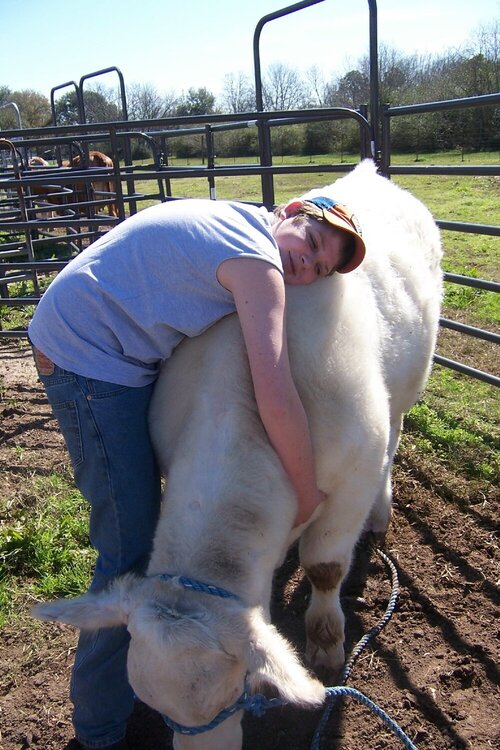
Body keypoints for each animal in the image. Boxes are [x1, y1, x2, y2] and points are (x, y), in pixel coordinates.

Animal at [34, 162, 442, 748]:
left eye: (235, 690)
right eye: (154, 706)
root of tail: (368, 172)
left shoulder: (351, 480)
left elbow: (324, 568)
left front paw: (325, 644)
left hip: (406, 390)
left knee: (396, 434)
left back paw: (382, 511)